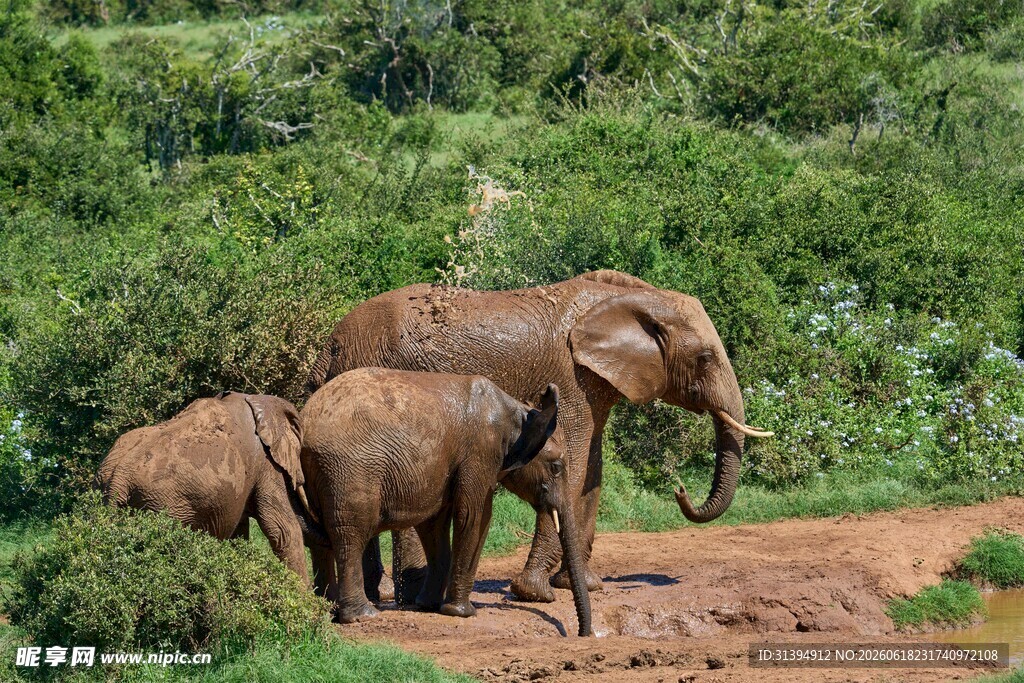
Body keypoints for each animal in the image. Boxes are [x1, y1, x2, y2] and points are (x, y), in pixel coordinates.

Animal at [299, 367, 592, 636]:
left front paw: (427, 605)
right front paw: (462, 612)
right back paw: (362, 616)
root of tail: (305, 426)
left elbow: (433, 525)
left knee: (321, 541)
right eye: (556, 467)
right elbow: (475, 516)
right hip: (348, 472)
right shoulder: (480, 452)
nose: (582, 634)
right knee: (351, 537)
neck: (520, 414)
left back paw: (328, 609)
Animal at [306, 270, 773, 604]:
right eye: (706, 358)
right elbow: (578, 461)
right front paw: (537, 593)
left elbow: (593, 473)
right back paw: (410, 592)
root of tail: (329, 347)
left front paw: (585, 584)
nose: (680, 490)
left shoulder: (593, 385)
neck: (633, 298)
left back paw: (377, 594)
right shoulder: (570, 379)